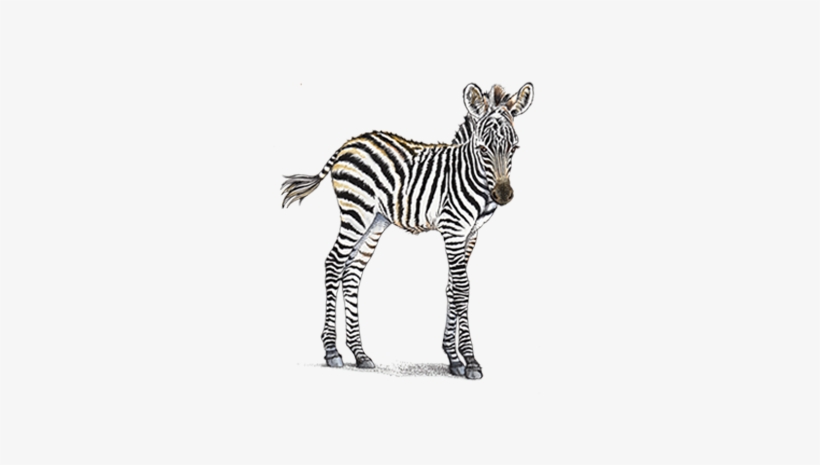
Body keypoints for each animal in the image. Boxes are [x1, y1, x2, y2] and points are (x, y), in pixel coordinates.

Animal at [282, 83, 533, 379]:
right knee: (333, 263)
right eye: (483, 149)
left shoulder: (471, 234)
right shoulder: (453, 229)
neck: (469, 173)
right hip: (356, 211)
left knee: (352, 272)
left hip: (376, 220)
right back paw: (332, 351)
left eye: (514, 148)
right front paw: (470, 361)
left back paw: (360, 353)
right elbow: (462, 288)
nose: (503, 195)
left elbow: (451, 287)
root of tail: (349, 143)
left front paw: (453, 357)